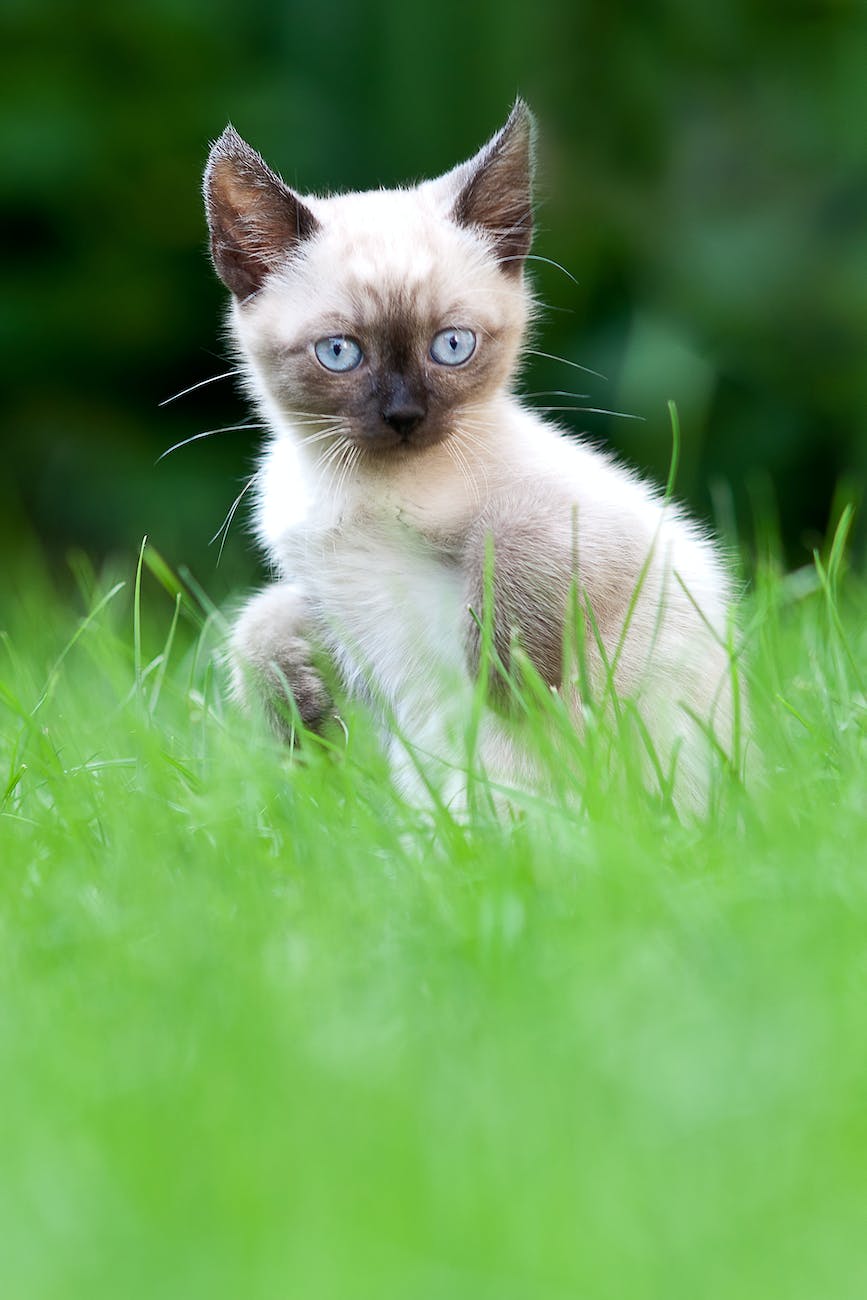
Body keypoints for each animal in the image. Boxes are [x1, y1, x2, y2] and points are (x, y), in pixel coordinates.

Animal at [201, 104, 738, 811]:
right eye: (340, 353)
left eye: (452, 346)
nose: (405, 417)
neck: (363, 494)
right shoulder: (324, 594)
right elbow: (254, 624)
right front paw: (303, 718)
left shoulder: (606, 527)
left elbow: (514, 537)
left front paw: (506, 681)